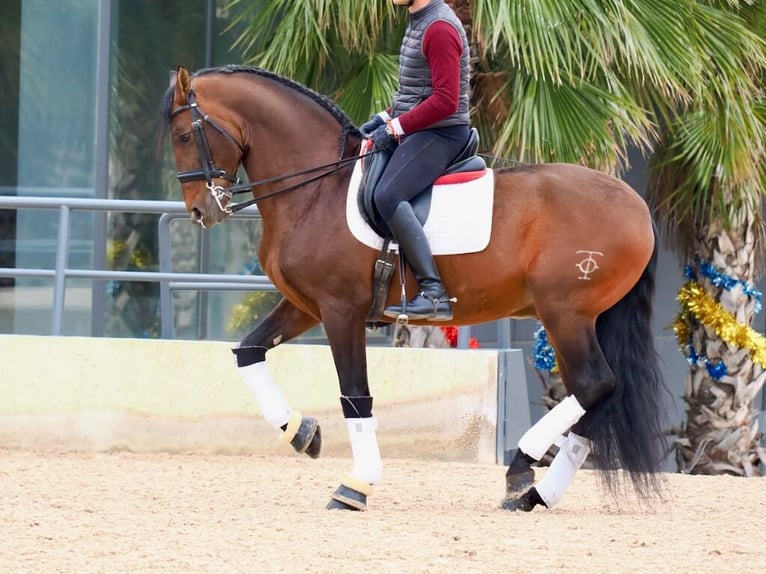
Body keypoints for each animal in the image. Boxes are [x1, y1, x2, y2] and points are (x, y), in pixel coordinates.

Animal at [164, 66, 672, 512]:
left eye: (184, 136)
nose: (201, 211)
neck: (317, 189)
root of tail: (637, 205)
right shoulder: (304, 306)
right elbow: (247, 352)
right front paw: (303, 434)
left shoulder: (340, 309)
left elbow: (355, 395)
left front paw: (355, 486)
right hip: (576, 319)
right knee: (599, 396)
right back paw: (534, 495)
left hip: (566, 314)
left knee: (594, 384)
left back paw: (521, 471)